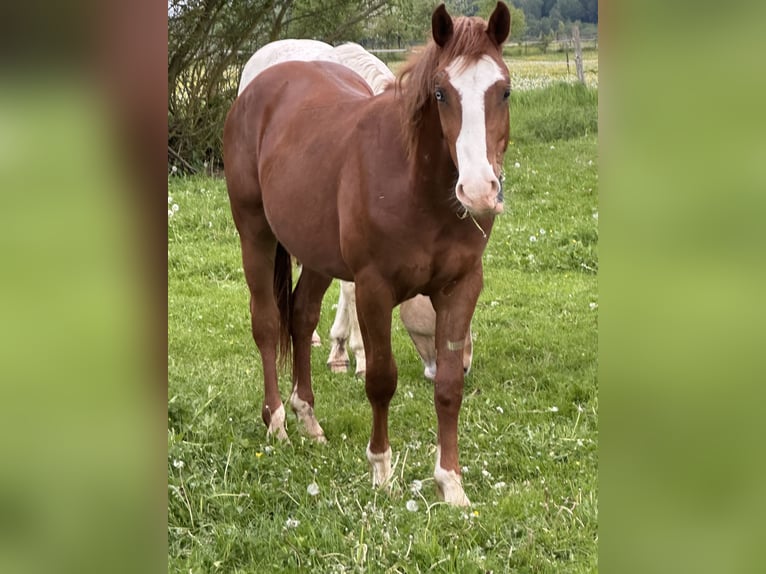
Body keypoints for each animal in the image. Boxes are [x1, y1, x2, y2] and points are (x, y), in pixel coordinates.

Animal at [224, 2, 511, 506]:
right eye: (441, 92)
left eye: (505, 91)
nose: (479, 190)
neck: (416, 187)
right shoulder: (374, 287)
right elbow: (381, 379)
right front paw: (381, 471)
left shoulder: (461, 286)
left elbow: (448, 387)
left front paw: (451, 484)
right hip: (254, 233)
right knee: (267, 323)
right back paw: (276, 422)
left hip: (315, 252)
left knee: (301, 315)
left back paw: (308, 418)